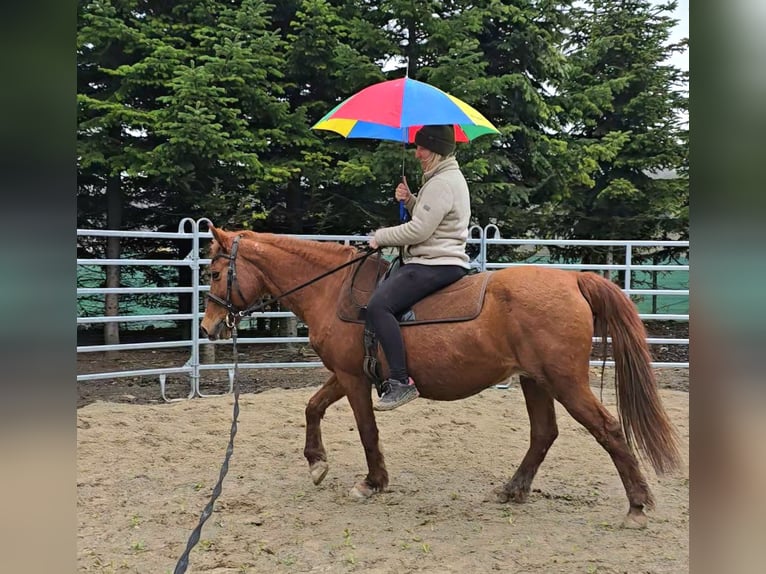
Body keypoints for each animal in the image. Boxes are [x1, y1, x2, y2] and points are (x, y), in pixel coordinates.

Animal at [200, 227, 681, 528]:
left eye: (215, 272)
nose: (207, 327)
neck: (332, 290)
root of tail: (574, 281)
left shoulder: (354, 379)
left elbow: (367, 428)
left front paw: (372, 482)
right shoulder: (346, 374)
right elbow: (312, 406)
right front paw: (317, 463)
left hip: (565, 382)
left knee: (609, 430)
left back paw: (637, 505)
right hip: (536, 380)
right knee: (544, 433)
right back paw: (512, 490)